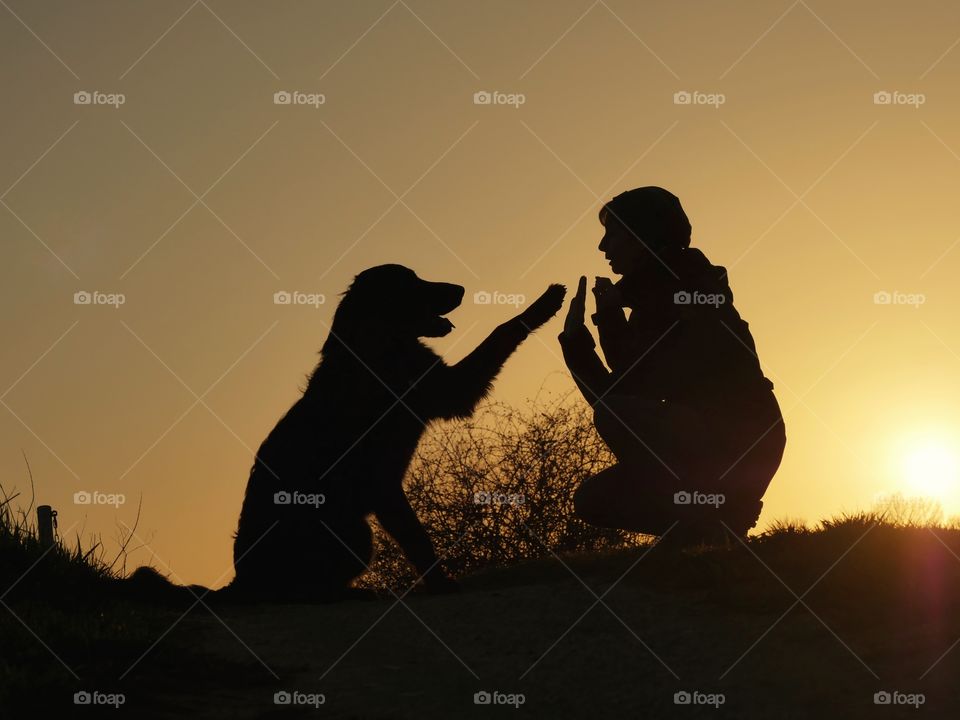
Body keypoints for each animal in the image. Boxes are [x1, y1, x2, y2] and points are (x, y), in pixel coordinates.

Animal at [232, 268, 564, 600]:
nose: (461, 289)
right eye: (411, 282)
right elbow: (502, 330)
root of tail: (241, 582)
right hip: (354, 532)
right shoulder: (445, 398)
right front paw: (545, 303)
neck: (379, 348)